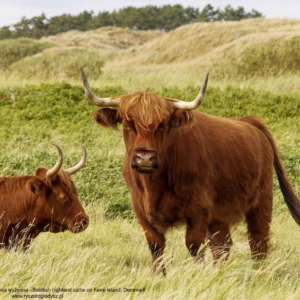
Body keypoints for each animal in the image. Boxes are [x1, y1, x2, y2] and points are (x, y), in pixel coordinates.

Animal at [81, 68, 298, 274]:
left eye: (162, 125)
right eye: (128, 124)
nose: (145, 158)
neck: (154, 185)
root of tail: (248, 121)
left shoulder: (198, 210)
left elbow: (195, 246)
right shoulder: (141, 211)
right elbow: (156, 247)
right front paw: (160, 276)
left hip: (261, 201)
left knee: (258, 241)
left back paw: (257, 273)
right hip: (220, 214)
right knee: (223, 245)